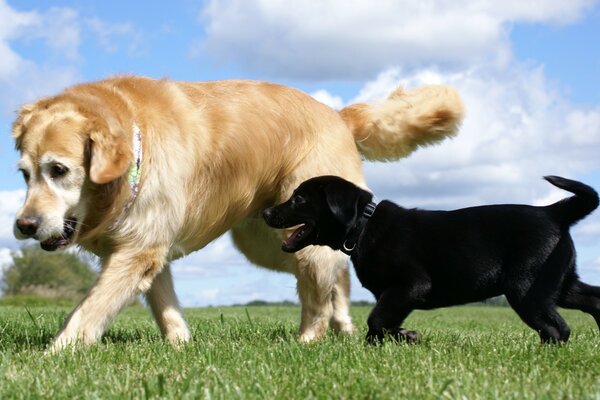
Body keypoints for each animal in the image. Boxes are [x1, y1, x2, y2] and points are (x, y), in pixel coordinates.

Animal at [264, 176, 600, 344]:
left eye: (299, 198)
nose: (266, 212)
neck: (363, 226)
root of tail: (553, 212)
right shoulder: (395, 294)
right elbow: (380, 324)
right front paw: (398, 338)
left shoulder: (410, 286)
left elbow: (377, 319)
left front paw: (405, 336)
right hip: (560, 283)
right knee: (592, 301)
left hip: (527, 289)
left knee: (558, 329)